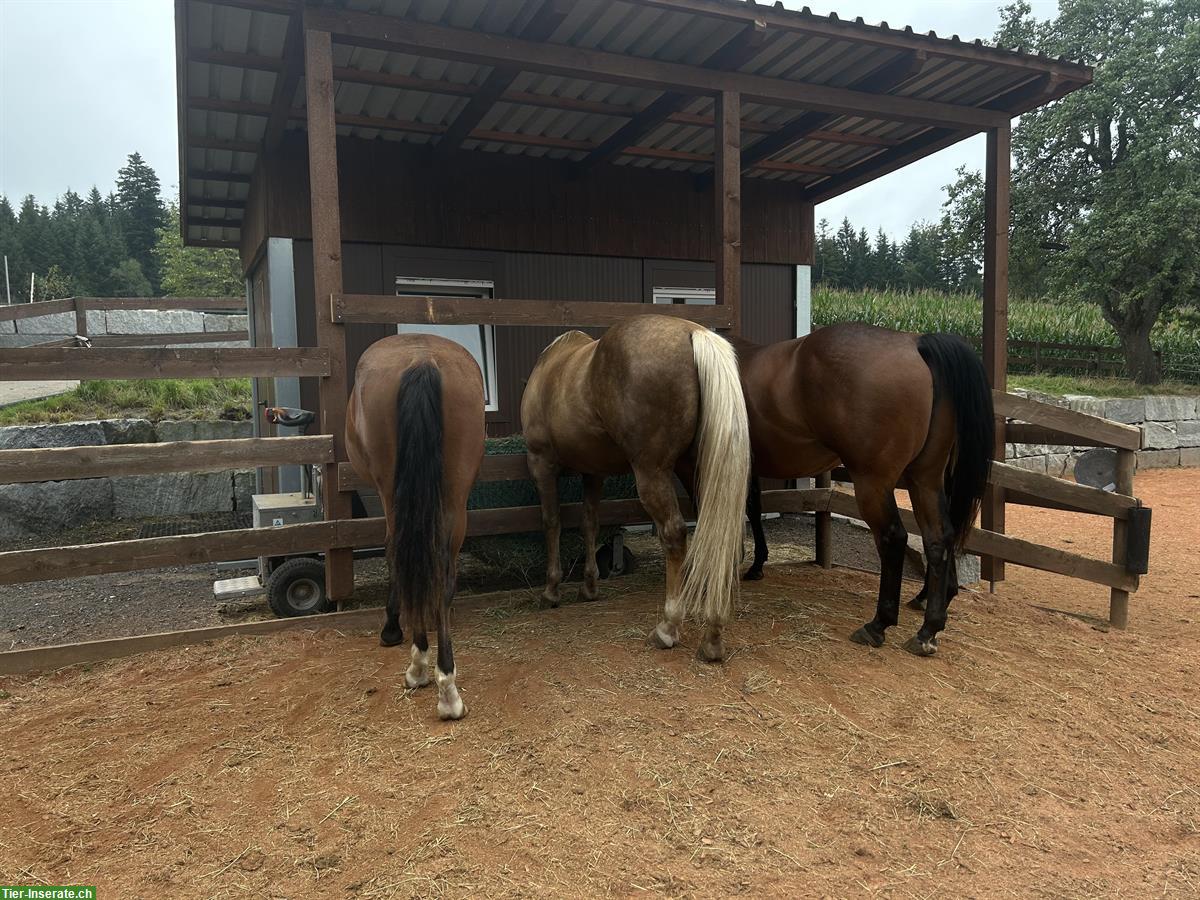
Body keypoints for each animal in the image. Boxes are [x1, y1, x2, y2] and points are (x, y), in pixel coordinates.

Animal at [345, 331, 484, 720]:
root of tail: (423, 359)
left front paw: (392, 627)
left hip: (396, 494)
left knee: (404, 555)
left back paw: (420, 666)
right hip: (454, 499)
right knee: (441, 576)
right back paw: (448, 688)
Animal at [523, 314, 748, 662]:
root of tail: (693, 332)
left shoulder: (541, 464)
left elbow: (552, 523)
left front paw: (551, 591)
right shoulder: (593, 473)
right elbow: (589, 523)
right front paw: (589, 587)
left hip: (652, 473)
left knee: (674, 534)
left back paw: (668, 627)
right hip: (698, 471)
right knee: (720, 534)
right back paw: (712, 635)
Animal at [739, 324, 993, 657]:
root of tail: (916, 343)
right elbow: (754, 508)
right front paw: (757, 564)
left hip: (873, 482)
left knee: (893, 537)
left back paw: (878, 625)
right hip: (925, 478)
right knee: (938, 537)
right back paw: (928, 628)